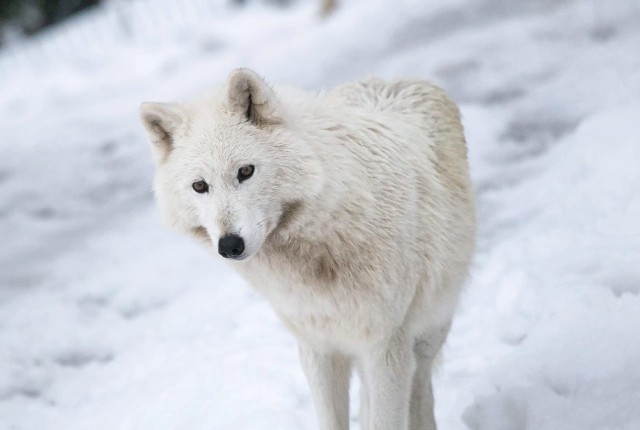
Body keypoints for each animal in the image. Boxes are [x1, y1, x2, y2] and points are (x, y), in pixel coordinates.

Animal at [141, 69, 480, 428]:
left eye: (245, 171)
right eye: (200, 186)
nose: (230, 245)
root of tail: (393, 79)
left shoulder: (386, 347)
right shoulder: (317, 348)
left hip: (430, 330)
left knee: (421, 387)